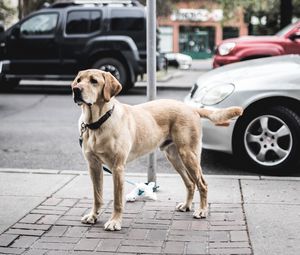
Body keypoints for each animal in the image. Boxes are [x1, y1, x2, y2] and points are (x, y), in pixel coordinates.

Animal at [71, 69, 243, 231]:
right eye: (79, 80)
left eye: (94, 81)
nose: (75, 90)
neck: (97, 123)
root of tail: (191, 108)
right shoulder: (94, 166)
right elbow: (97, 196)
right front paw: (93, 216)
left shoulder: (117, 167)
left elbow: (117, 200)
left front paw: (114, 222)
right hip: (175, 157)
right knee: (190, 183)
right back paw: (187, 205)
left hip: (189, 155)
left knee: (202, 184)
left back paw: (202, 210)